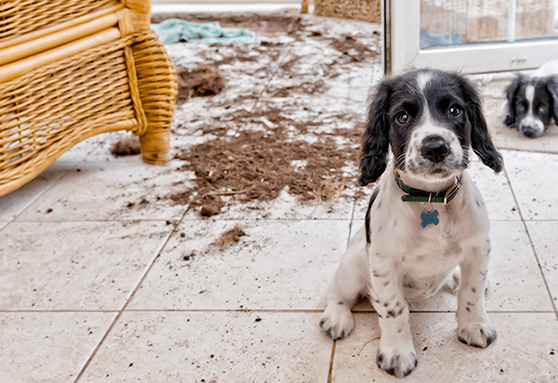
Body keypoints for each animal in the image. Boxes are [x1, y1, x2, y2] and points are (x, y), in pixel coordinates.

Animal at [322, 68, 506, 378]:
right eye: (402, 117)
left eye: (455, 110)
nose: (435, 148)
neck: (432, 199)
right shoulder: (383, 263)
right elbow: (393, 309)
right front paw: (397, 353)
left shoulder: (479, 247)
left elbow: (472, 292)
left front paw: (474, 327)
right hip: (354, 261)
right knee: (337, 290)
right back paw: (336, 317)